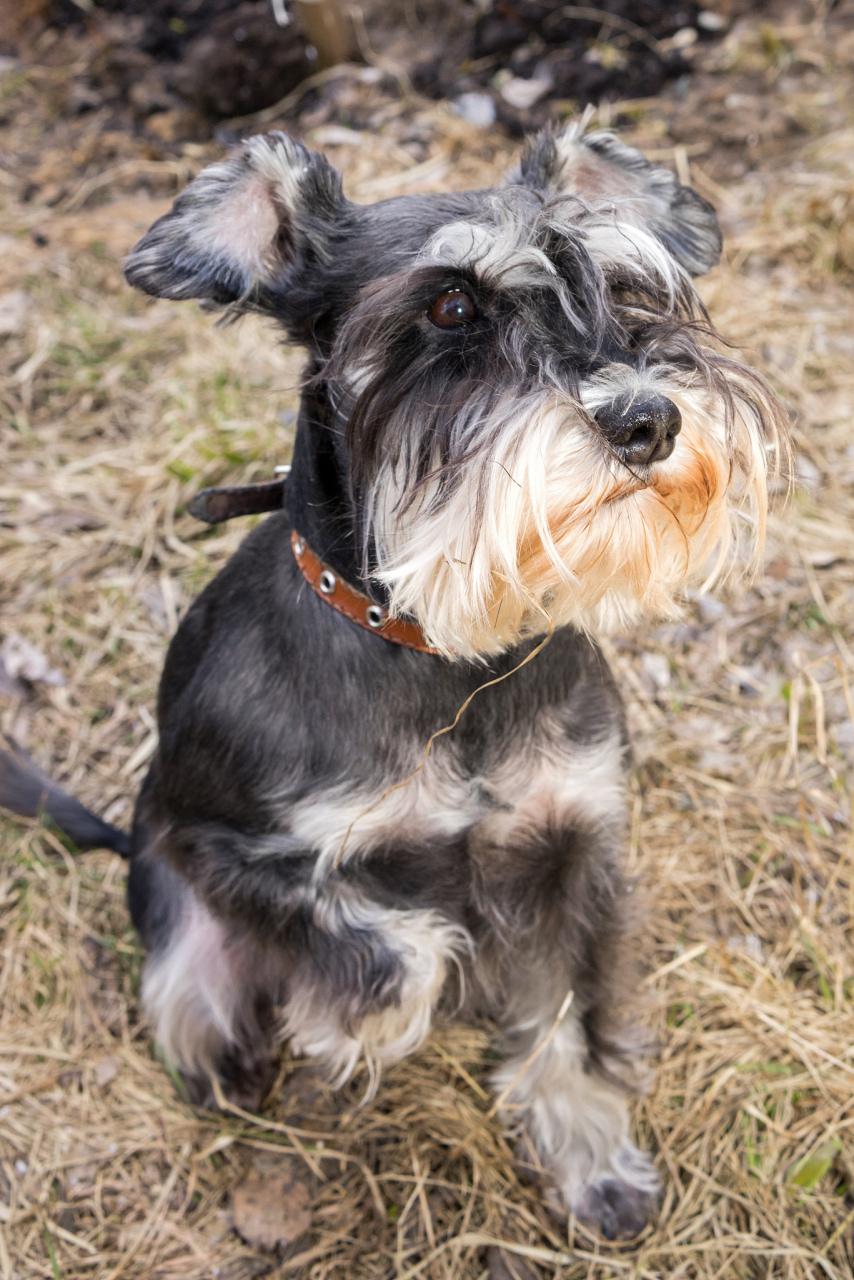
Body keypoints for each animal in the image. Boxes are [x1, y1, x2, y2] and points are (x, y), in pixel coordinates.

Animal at [1, 120, 788, 1239]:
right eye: (452, 307)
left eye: (632, 287)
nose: (647, 420)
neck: (445, 659)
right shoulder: (229, 846)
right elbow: (384, 942)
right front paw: (359, 1025)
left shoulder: (565, 842)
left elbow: (557, 1009)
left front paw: (590, 1156)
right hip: (174, 915)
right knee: (199, 999)